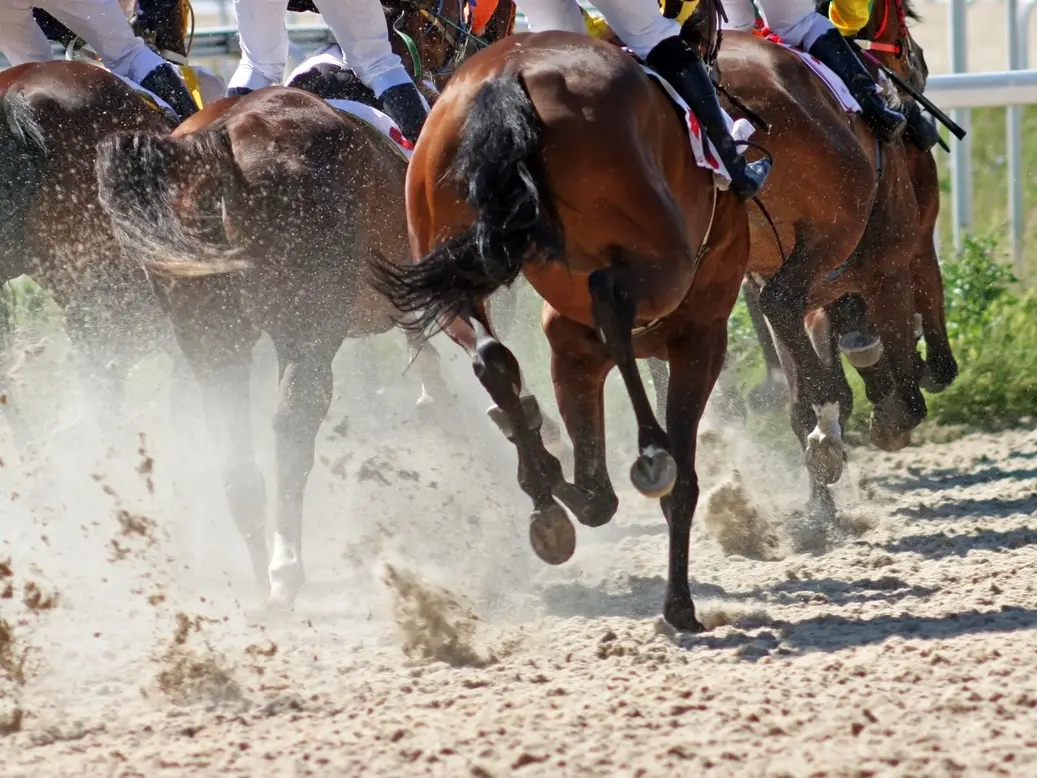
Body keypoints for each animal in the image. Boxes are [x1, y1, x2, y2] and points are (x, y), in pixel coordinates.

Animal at [373, 25, 754, 634]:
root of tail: (505, 75)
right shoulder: (701, 336)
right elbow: (678, 483)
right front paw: (680, 605)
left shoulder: (570, 348)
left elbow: (597, 495)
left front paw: (545, 475)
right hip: (661, 259)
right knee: (610, 299)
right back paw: (650, 450)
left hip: (445, 250)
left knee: (491, 354)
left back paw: (537, 469)